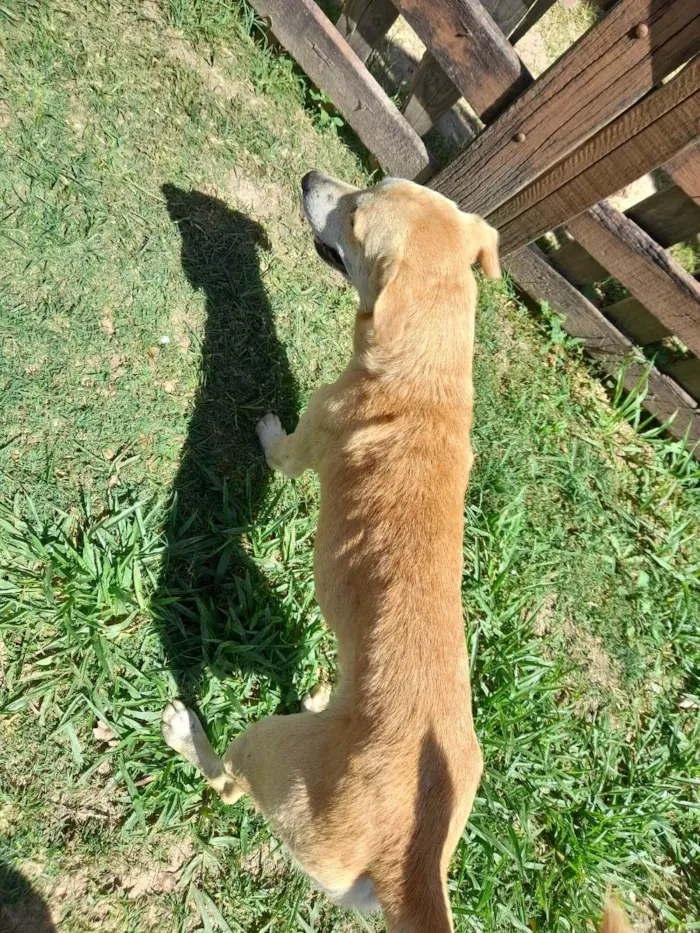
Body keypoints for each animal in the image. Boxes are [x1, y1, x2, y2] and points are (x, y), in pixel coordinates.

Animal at [163, 175, 628, 932]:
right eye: (375, 184)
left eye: (355, 213)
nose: (311, 180)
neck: (427, 373)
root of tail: (405, 863)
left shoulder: (306, 439)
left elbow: (277, 444)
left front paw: (264, 425)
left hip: (271, 751)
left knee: (228, 783)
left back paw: (187, 733)